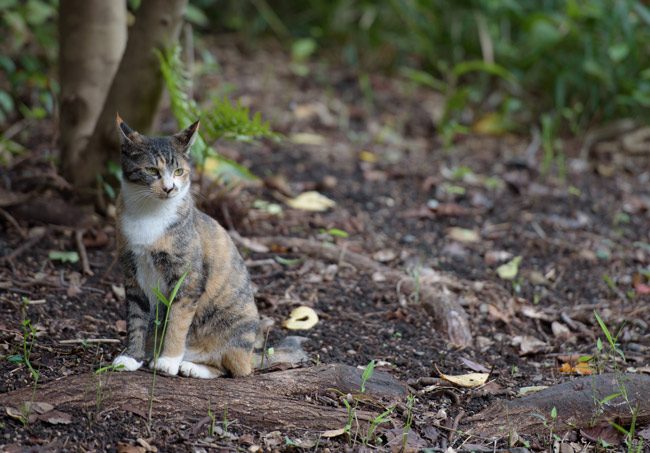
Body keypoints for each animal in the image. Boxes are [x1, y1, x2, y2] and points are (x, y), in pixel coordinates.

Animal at [111, 114, 258, 378]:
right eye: (152, 170)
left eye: (179, 171)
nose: (170, 188)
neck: (149, 214)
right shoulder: (132, 273)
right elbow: (136, 318)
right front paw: (131, 357)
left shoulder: (187, 279)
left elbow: (178, 320)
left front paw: (168, 360)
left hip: (234, 326)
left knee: (231, 369)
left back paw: (190, 367)